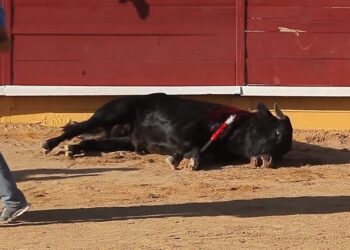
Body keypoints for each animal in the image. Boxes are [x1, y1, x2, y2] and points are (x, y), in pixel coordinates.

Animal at [41, 93, 292, 170]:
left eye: (285, 150)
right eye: (277, 133)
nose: (270, 161)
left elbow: (201, 153)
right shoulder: (177, 130)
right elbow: (190, 146)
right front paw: (178, 159)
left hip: (119, 139)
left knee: (91, 141)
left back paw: (73, 149)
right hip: (111, 112)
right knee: (78, 127)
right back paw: (50, 144)